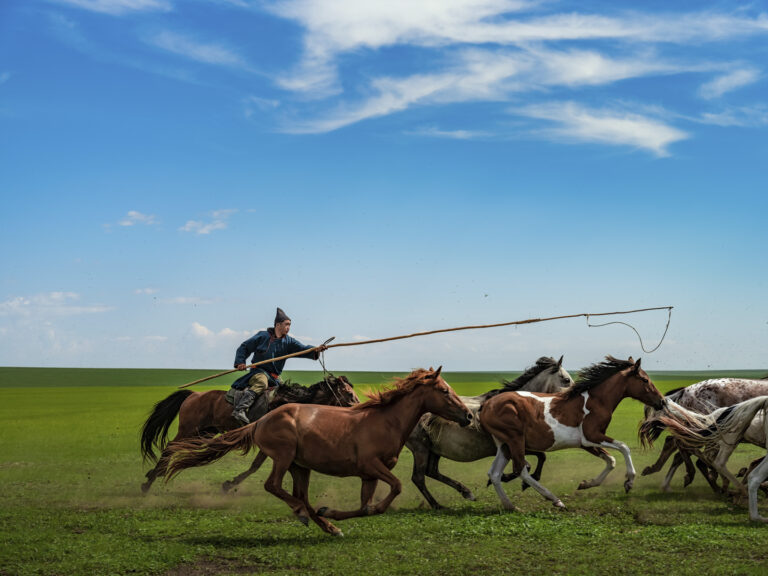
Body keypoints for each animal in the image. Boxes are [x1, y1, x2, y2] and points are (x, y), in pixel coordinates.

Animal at [139, 374, 359, 493]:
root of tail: (194, 395)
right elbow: (255, 466)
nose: (360, 407)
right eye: (349, 394)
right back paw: (149, 481)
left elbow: (255, 466)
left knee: (175, 448)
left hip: (204, 434)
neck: (289, 402)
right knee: (170, 447)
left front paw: (229, 484)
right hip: (189, 430)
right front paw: (229, 485)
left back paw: (155, 473)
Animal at [406, 355, 576, 509]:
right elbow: (528, 464)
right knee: (418, 477)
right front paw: (513, 480)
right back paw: (437, 505)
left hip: (435, 450)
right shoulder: (513, 446)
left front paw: (516, 480)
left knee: (432, 471)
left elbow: (540, 457)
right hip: (420, 449)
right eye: (566, 379)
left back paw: (466, 492)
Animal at [479, 356, 664, 510]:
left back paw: (510, 506)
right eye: (645, 380)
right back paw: (555, 500)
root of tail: (487, 405)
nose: (661, 401)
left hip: (504, 445)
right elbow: (624, 447)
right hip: (515, 440)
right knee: (521, 470)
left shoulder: (586, 443)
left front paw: (586, 484)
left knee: (494, 474)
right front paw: (629, 481)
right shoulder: (592, 436)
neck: (596, 401)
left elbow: (610, 460)